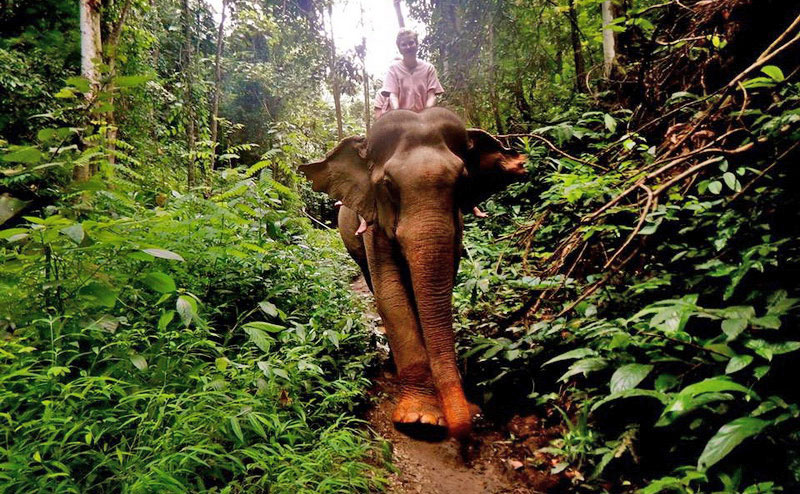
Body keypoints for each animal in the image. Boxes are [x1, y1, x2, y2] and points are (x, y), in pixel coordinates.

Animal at [300, 108, 524, 440]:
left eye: (462, 181)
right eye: (388, 184)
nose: (474, 417)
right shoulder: (374, 221)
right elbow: (391, 293)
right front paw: (420, 420)